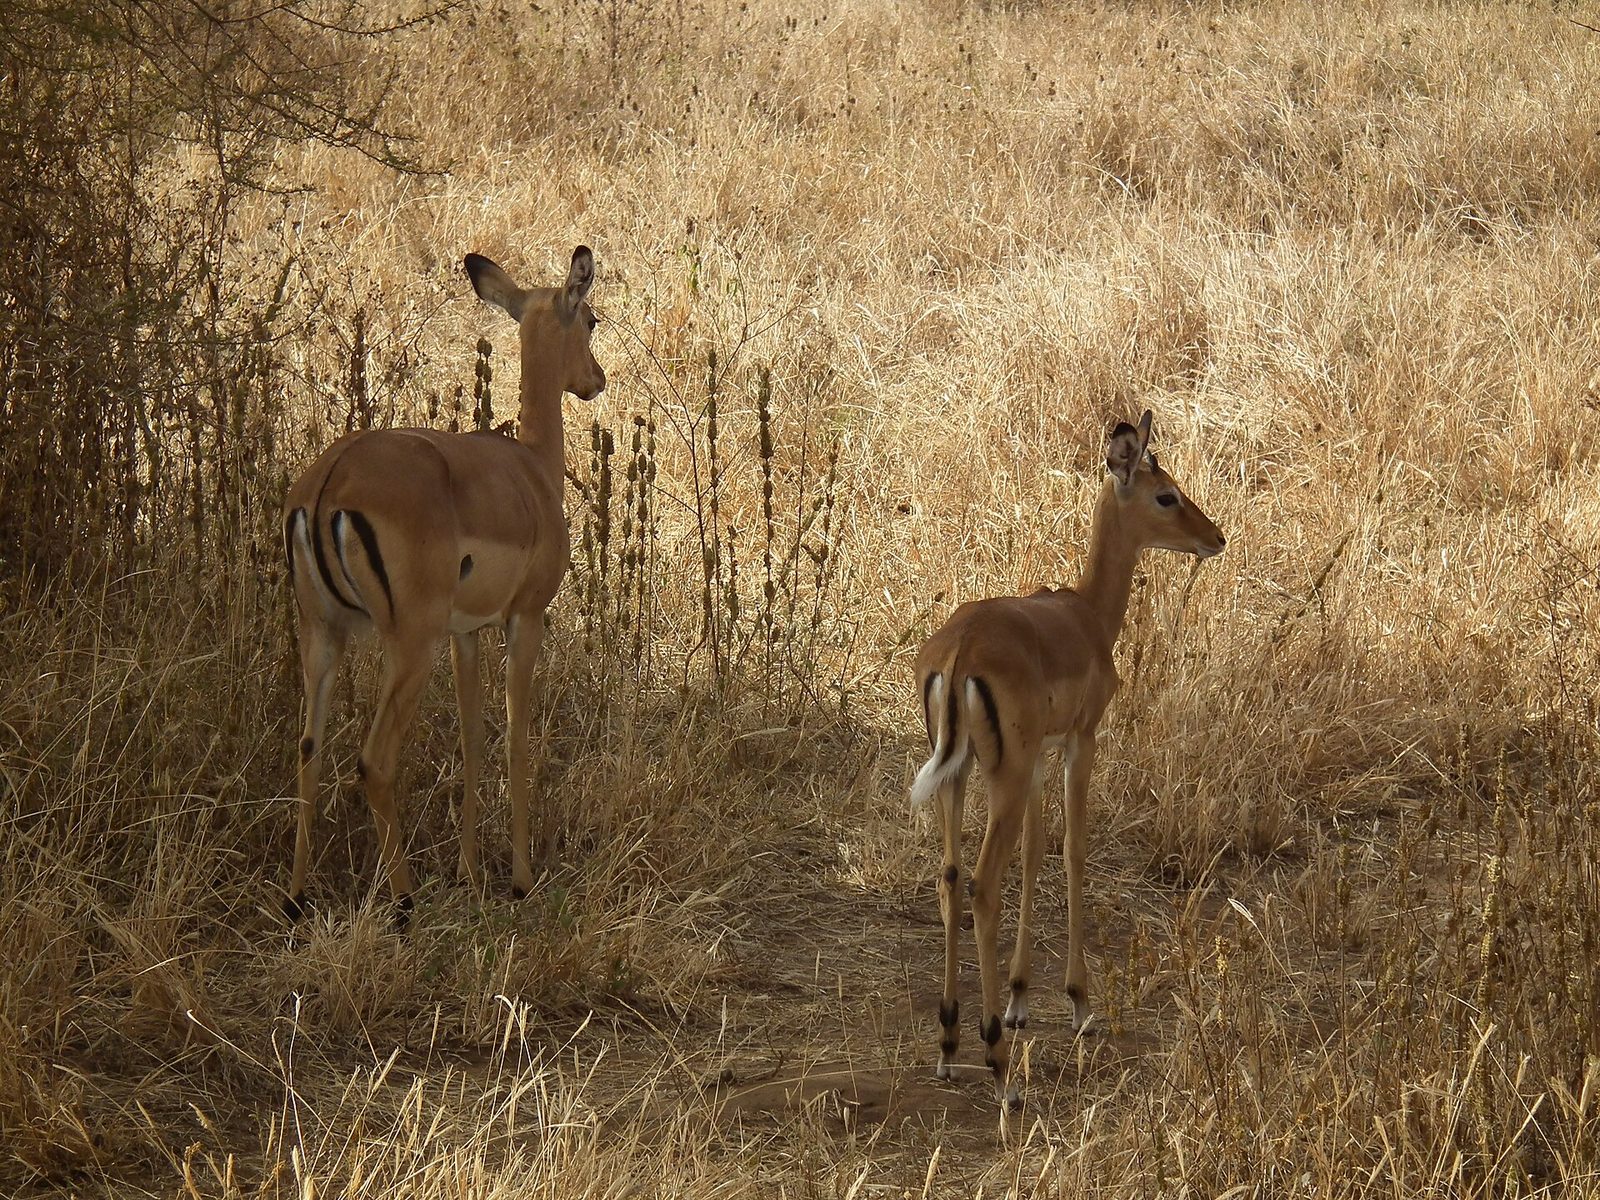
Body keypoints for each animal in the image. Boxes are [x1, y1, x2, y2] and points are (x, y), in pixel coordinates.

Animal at [281, 246, 605, 924]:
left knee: (308, 748)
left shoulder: (466, 633)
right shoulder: (523, 619)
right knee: (373, 762)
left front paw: (469, 874)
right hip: (409, 644)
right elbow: (514, 738)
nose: (596, 380)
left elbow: (472, 738)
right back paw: (404, 903)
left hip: (323, 633)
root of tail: (327, 483)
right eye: (591, 319)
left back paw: (297, 899)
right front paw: (519, 880)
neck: (533, 471)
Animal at [910, 411, 1225, 1106]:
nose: (1214, 537)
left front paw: (1023, 1000)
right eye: (1166, 495)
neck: (1085, 616)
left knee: (950, 878)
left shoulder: (1037, 760)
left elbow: (1035, 854)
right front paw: (1080, 1004)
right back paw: (999, 1066)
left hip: (960, 775)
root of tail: (960, 649)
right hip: (999, 776)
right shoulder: (1081, 741)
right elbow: (1075, 849)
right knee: (982, 883)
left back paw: (948, 1044)